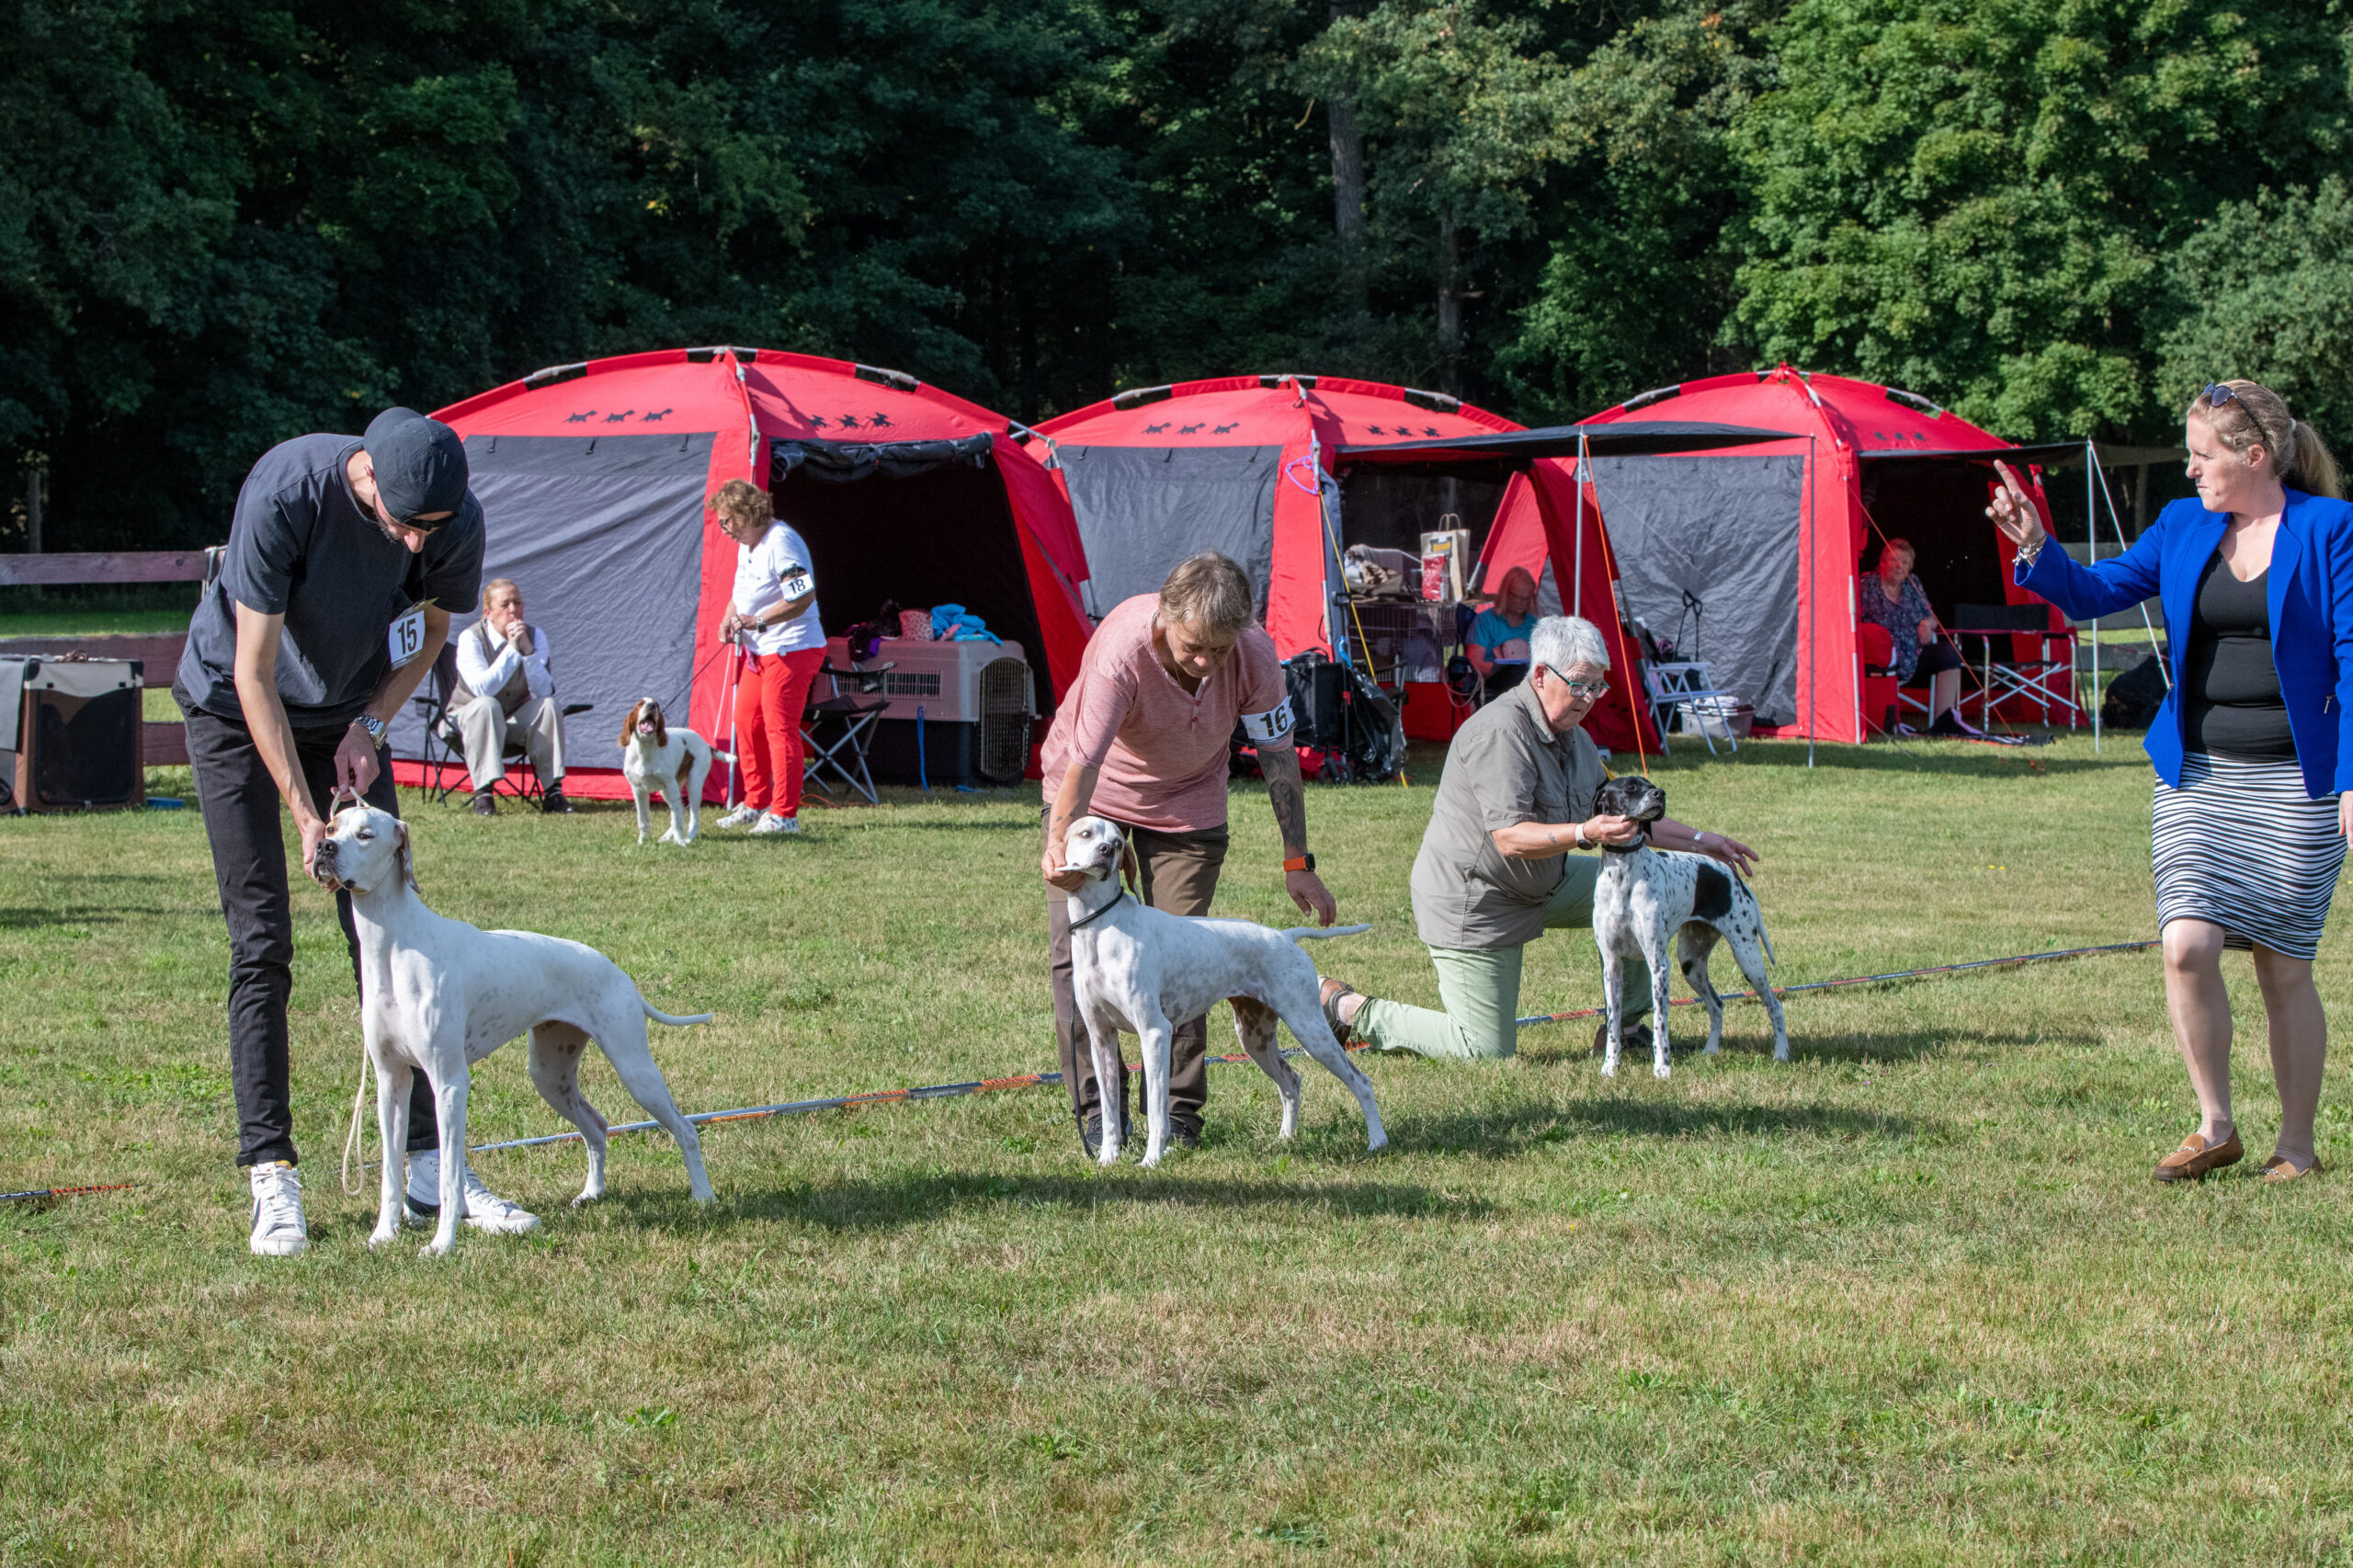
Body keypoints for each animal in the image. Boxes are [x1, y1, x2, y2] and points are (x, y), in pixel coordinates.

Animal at [312, 804, 717, 1255]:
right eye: (331, 826)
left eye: (365, 834)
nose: (324, 848)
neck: (392, 945)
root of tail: (617, 971)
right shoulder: (391, 1081)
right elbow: (388, 1172)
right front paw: (383, 1235)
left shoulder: (449, 1083)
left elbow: (450, 1175)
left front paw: (442, 1245)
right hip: (550, 1075)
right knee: (596, 1126)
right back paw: (591, 1194)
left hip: (635, 1070)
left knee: (684, 1128)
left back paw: (703, 1196)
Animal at [618, 697, 727, 845]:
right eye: (640, 704)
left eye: (657, 704)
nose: (651, 706)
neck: (645, 750)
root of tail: (706, 744)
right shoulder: (638, 789)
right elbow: (643, 819)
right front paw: (643, 841)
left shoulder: (671, 785)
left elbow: (676, 819)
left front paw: (680, 842)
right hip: (666, 791)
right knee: (681, 811)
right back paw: (666, 837)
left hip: (694, 783)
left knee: (693, 816)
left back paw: (688, 838)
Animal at [1058, 814, 1387, 1166]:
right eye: (1086, 833)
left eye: (1118, 843)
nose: (1106, 851)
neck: (1100, 927)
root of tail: (1286, 936)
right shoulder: (1101, 1037)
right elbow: (1109, 1111)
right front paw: (1107, 1158)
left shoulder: (1155, 1032)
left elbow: (1158, 1111)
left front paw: (1151, 1160)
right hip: (1255, 1037)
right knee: (1291, 1082)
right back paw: (1284, 1140)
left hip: (1311, 1030)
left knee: (1360, 1081)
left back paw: (1377, 1141)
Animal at [1588, 775, 1788, 1078]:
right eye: (1631, 786)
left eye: (1651, 784)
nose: (1660, 794)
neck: (1622, 874)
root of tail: (1732, 874)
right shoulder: (1611, 965)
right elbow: (1613, 1024)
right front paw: (1610, 1066)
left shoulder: (1658, 964)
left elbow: (1660, 1024)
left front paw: (1662, 1069)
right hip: (1691, 964)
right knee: (1717, 1004)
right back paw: (1711, 1050)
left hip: (1748, 958)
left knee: (1775, 1005)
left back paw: (1781, 1053)